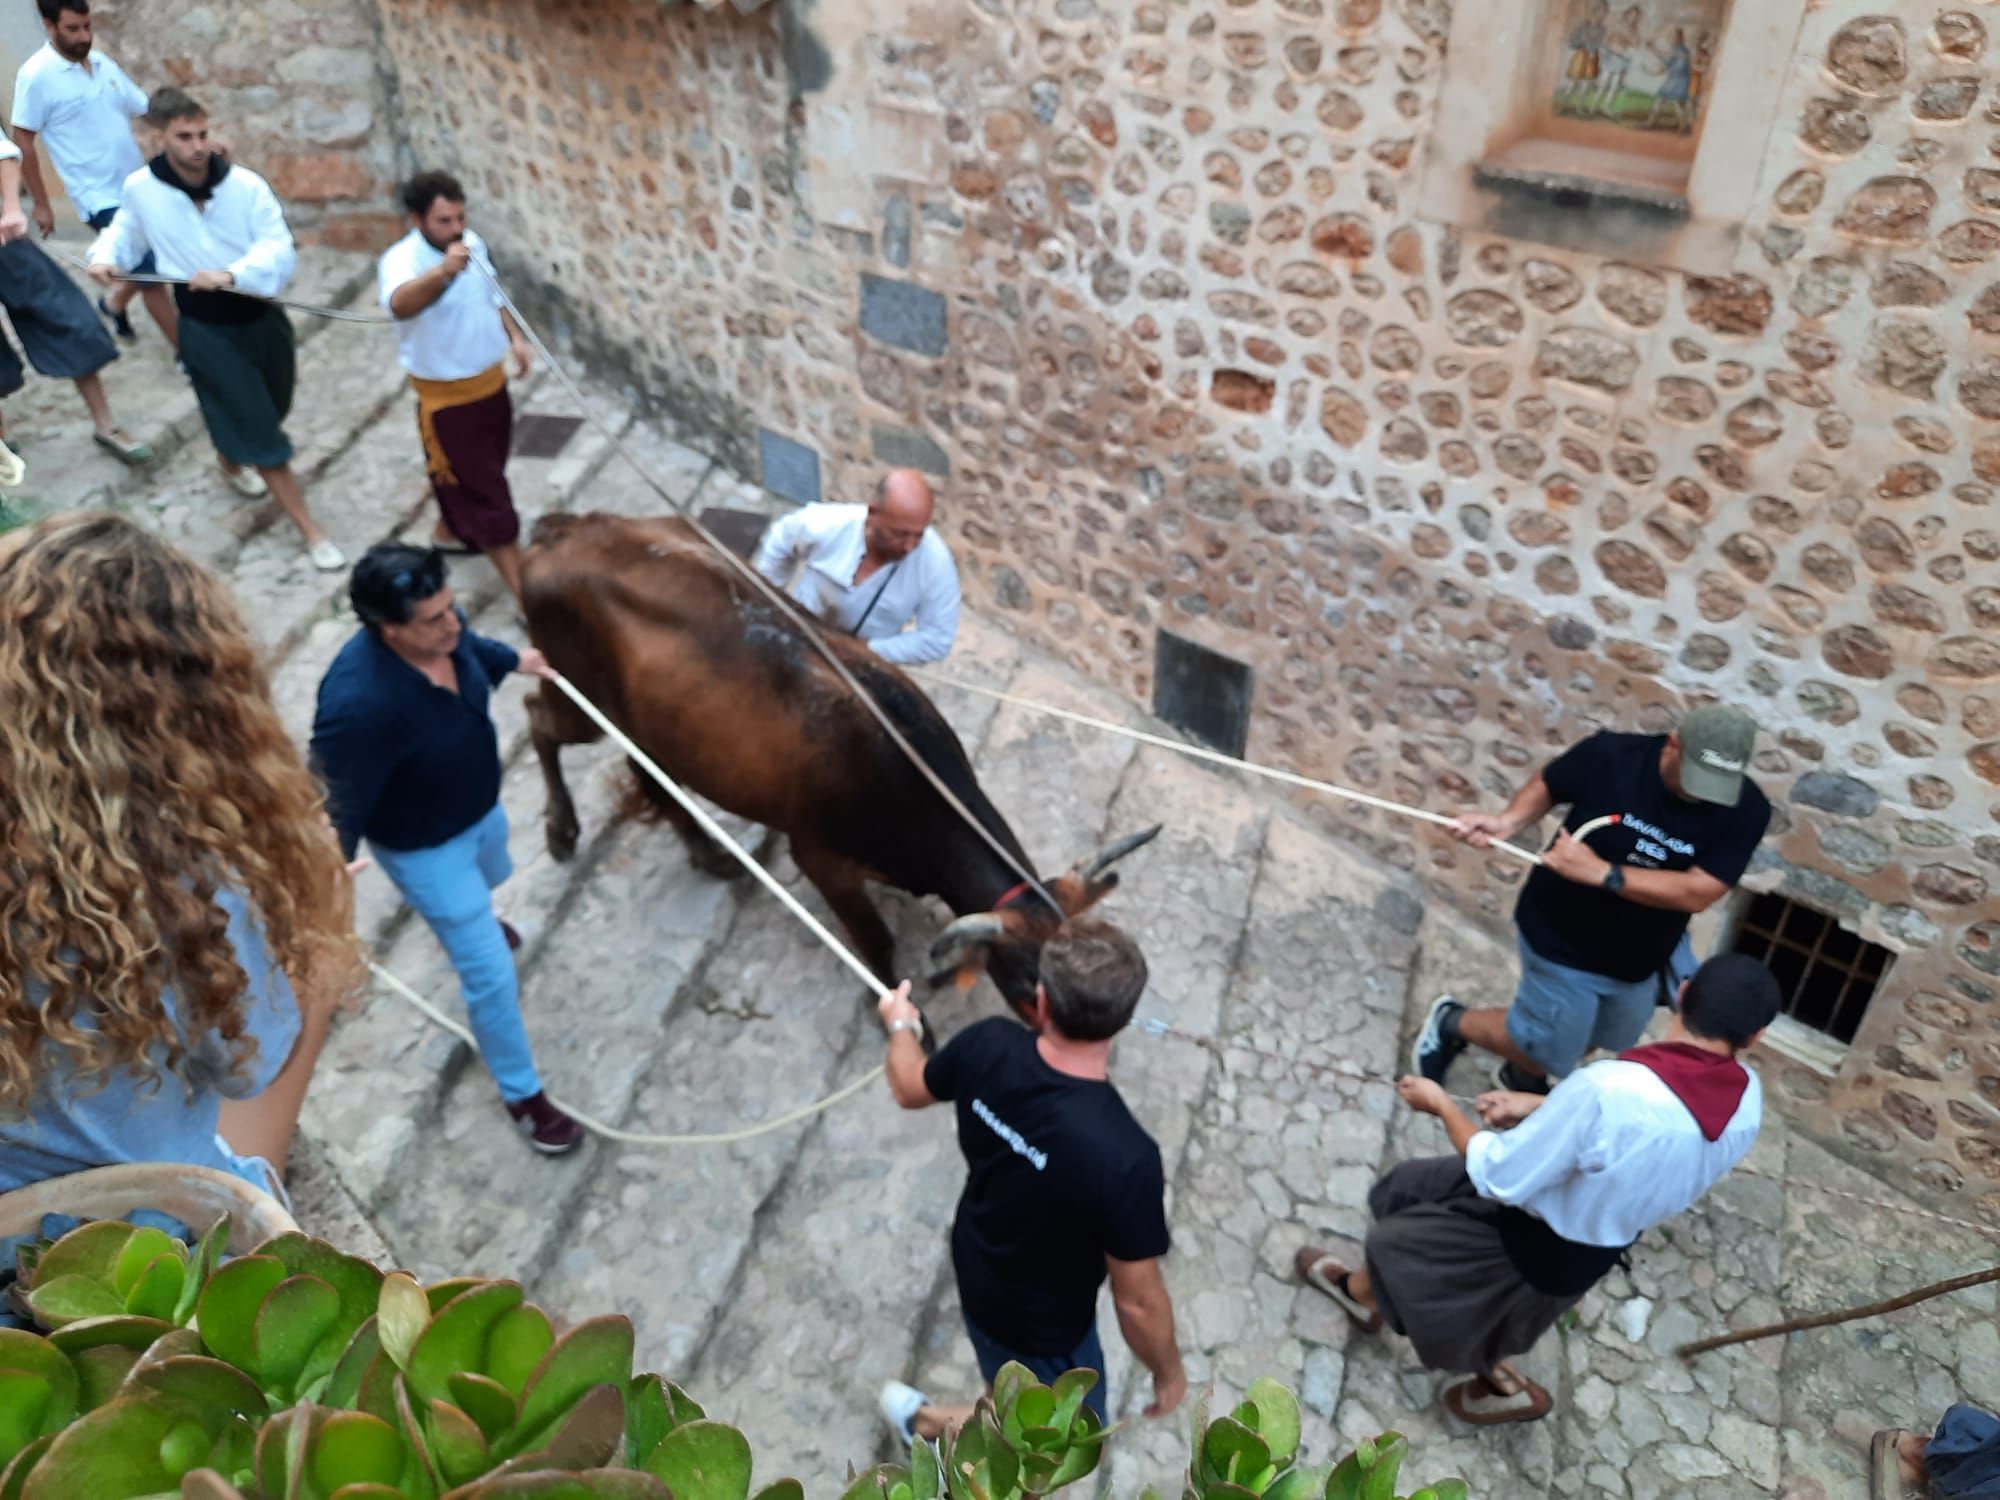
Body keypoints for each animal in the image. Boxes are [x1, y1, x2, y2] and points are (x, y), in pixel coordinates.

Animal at [524, 512, 1168, 1016]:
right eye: (1029, 980)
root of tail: (565, 529)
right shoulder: (819, 856)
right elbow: (877, 944)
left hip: (647, 721)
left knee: (647, 772)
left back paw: (708, 855)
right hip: (580, 696)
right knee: (538, 718)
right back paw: (561, 830)